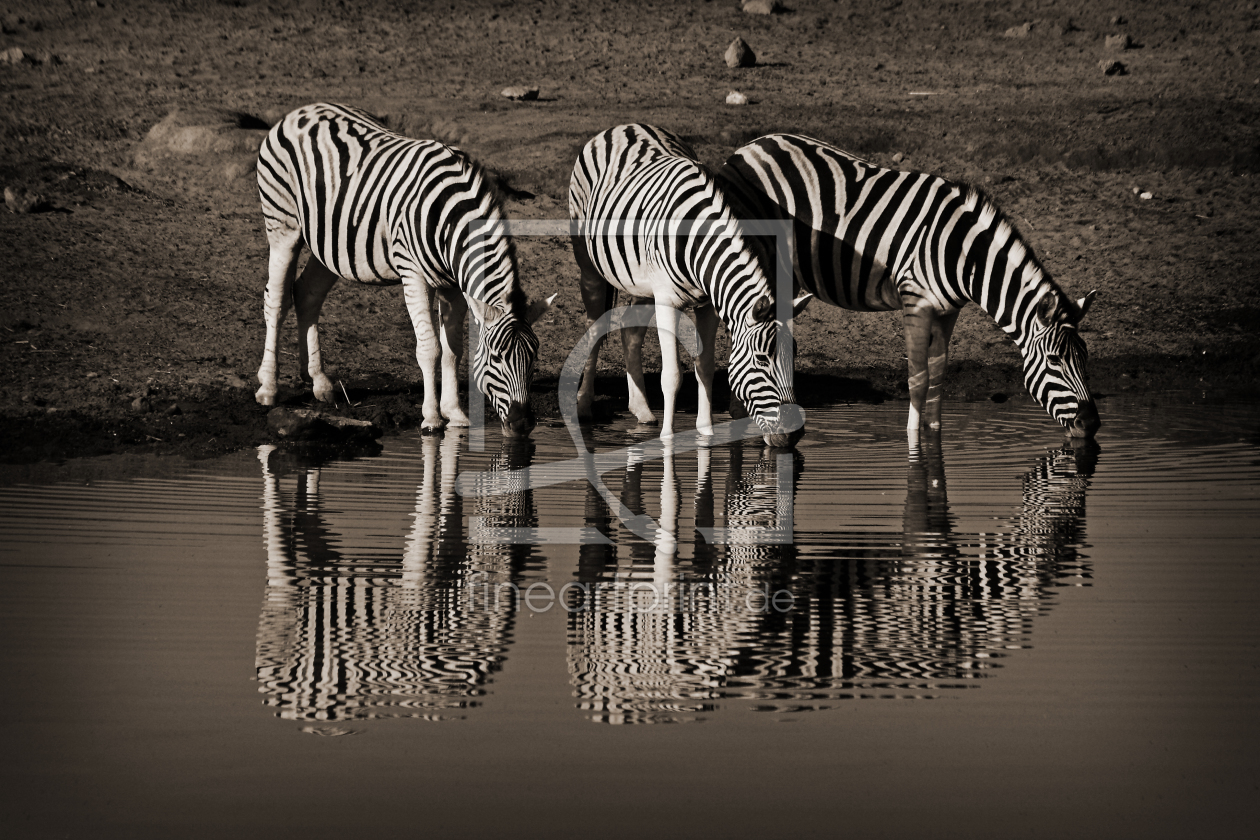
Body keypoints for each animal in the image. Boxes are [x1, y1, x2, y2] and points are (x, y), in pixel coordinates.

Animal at [253, 105, 554, 440]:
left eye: (535, 355)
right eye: (497, 358)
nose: (522, 424)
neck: (450, 218)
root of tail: (301, 111)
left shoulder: (453, 285)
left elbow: (453, 350)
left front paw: (456, 414)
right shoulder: (414, 275)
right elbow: (430, 348)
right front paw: (432, 418)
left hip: (329, 243)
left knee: (307, 294)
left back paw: (318, 381)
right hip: (283, 225)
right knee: (277, 299)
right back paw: (268, 387)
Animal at [569, 122, 811, 450]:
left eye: (794, 355)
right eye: (762, 359)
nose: (794, 433)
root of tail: (626, 125)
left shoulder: (708, 304)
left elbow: (705, 366)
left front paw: (705, 433)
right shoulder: (667, 303)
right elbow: (672, 375)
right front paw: (667, 440)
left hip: (642, 283)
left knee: (631, 334)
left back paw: (642, 410)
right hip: (588, 263)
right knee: (594, 329)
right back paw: (584, 406)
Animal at [720, 134, 1103, 438]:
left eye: (1084, 357)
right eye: (1054, 360)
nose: (1091, 424)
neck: (961, 253)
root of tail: (748, 147)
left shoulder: (948, 310)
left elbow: (938, 373)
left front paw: (934, 433)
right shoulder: (915, 301)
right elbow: (917, 379)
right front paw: (913, 441)